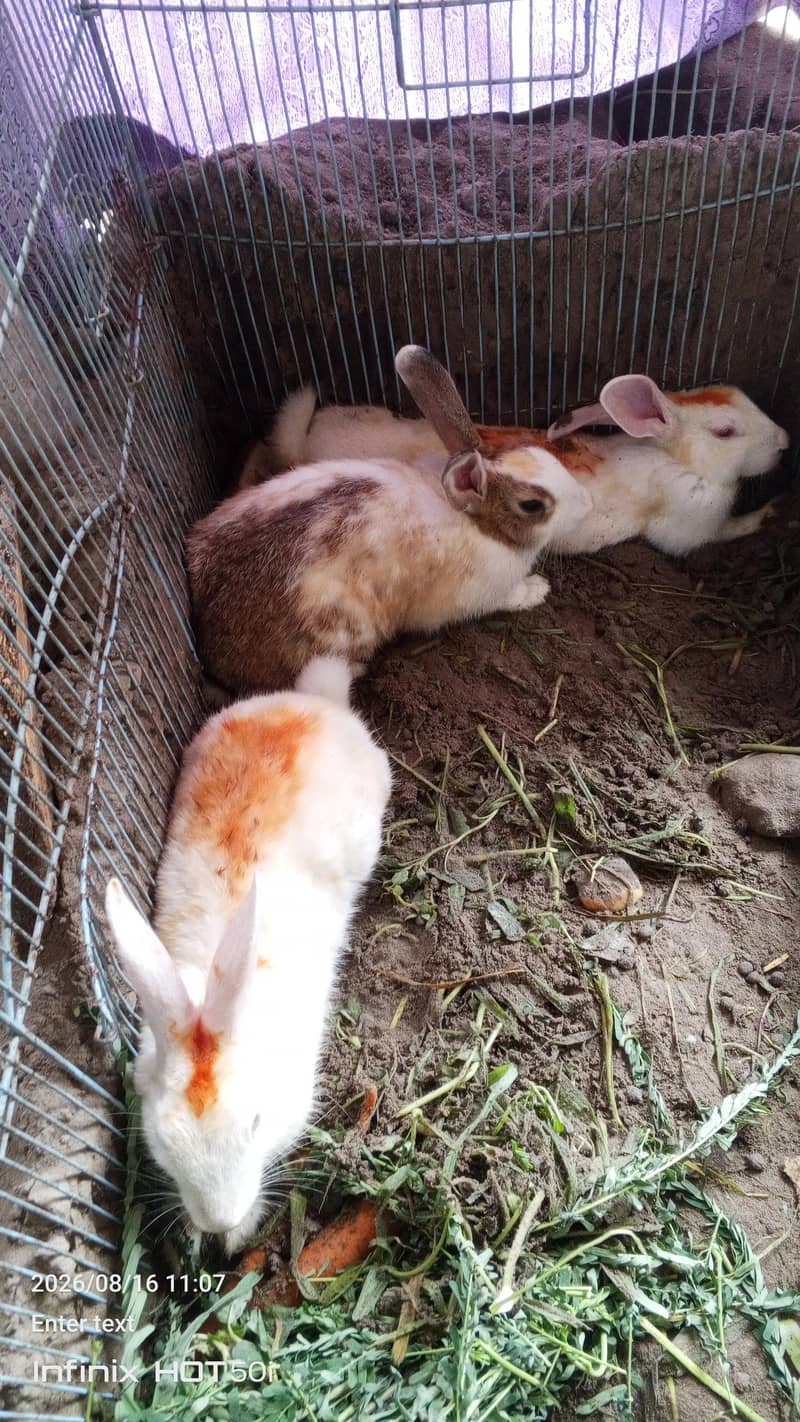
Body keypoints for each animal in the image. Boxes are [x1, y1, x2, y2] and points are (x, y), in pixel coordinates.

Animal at [187, 349, 592, 696]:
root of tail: (212, 647)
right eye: (532, 505)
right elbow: (511, 596)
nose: (585, 502)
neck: (478, 523)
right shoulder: (484, 592)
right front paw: (537, 589)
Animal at [259, 353, 788, 557]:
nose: (785, 441)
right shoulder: (689, 526)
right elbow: (719, 533)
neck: (681, 460)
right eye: (726, 431)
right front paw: (767, 515)